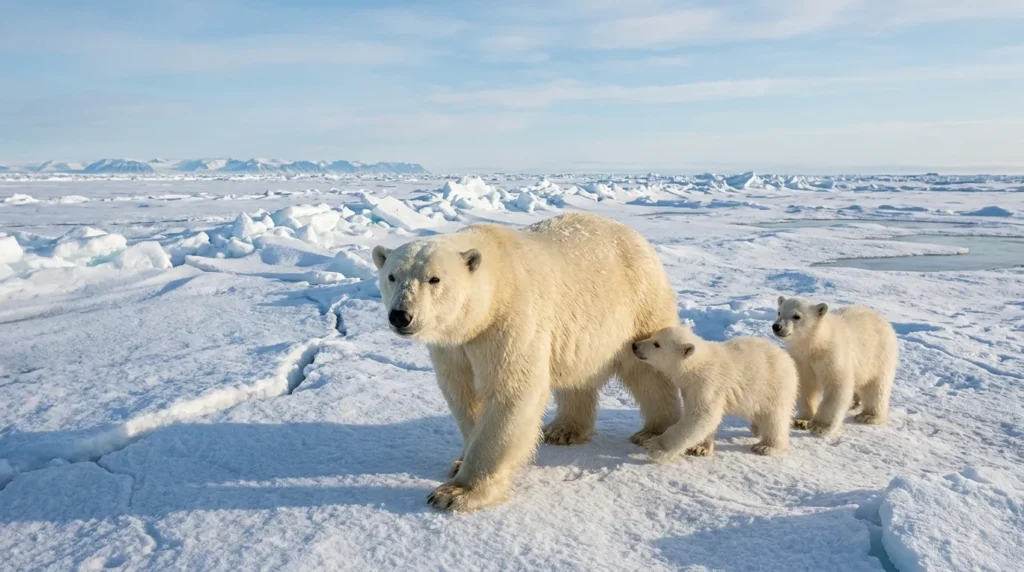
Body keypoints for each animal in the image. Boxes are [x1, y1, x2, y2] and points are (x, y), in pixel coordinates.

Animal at [371, 212, 681, 512]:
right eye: (392, 276)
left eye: (434, 279)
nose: (401, 315)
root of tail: (637, 237)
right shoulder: (454, 346)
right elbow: (463, 394)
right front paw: (459, 463)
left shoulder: (509, 321)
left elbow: (510, 393)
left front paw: (457, 493)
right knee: (577, 376)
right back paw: (563, 430)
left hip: (639, 305)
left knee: (648, 371)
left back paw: (656, 431)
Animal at [633, 325, 799, 461]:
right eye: (652, 335)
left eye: (657, 344)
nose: (634, 345)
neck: (697, 365)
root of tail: (786, 357)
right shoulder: (690, 389)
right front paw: (700, 448)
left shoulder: (708, 384)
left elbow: (701, 417)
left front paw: (656, 447)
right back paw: (757, 428)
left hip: (774, 385)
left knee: (775, 418)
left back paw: (766, 446)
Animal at [772, 296, 898, 437]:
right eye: (779, 312)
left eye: (796, 316)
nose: (777, 326)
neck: (816, 343)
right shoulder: (802, 360)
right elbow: (806, 386)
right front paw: (801, 420)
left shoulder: (832, 356)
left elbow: (836, 385)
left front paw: (820, 426)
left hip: (879, 355)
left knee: (876, 386)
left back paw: (868, 416)